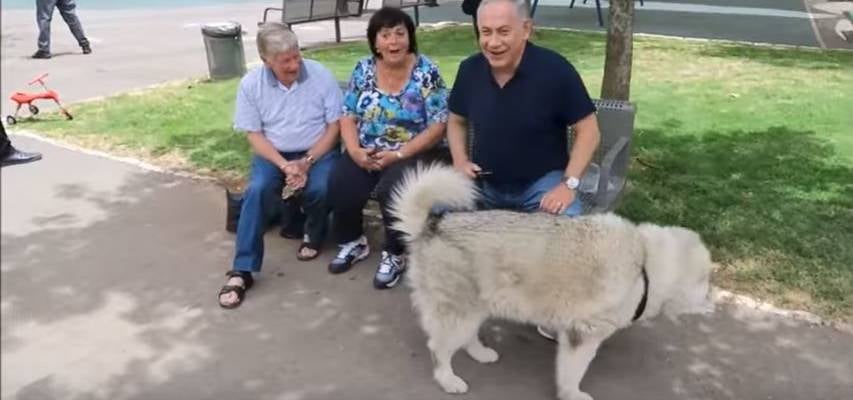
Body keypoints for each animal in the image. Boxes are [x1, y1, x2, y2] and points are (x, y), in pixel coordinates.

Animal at [390, 164, 716, 400]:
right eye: (706, 281)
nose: (712, 300)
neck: (644, 263)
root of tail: (433, 225)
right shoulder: (583, 336)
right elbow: (573, 372)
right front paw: (572, 394)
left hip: (475, 306)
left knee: (466, 336)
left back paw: (479, 352)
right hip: (459, 311)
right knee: (438, 348)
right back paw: (448, 379)